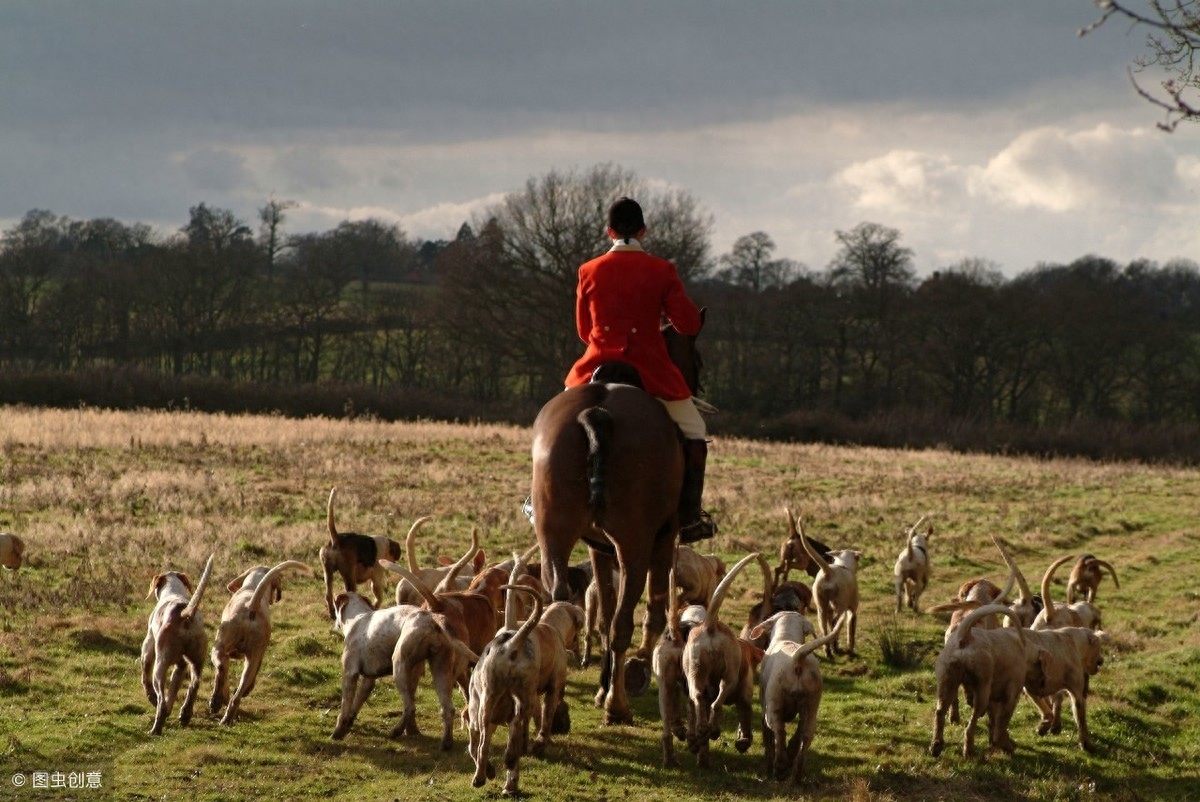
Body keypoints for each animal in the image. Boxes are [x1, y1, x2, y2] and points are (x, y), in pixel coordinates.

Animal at [532, 314, 700, 725]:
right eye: (697, 359)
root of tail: (597, 413)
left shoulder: (598, 548)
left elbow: (604, 611)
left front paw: (603, 684)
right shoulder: (663, 539)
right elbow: (652, 608)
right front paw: (631, 673)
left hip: (554, 535)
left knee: (561, 600)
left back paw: (560, 707)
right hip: (635, 545)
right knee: (625, 621)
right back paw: (617, 706)